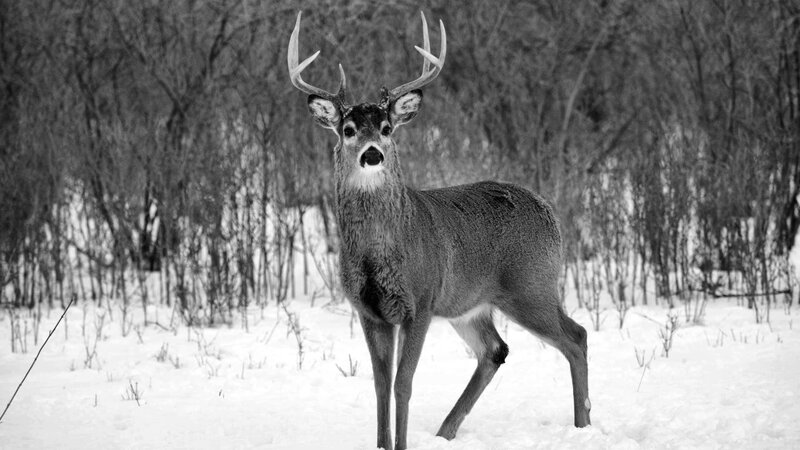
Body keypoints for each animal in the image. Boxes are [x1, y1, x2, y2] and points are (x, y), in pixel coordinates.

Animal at [288, 11, 591, 450]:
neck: (379, 252)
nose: (372, 154)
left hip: (530, 285)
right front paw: (383, 443)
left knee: (576, 337)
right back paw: (446, 432)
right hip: (469, 304)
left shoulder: (421, 301)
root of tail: (548, 209)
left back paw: (584, 426)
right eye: (348, 129)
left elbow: (403, 384)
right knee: (496, 350)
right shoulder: (368, 310)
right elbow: (380, 386)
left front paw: (400, 445)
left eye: (386, 127)